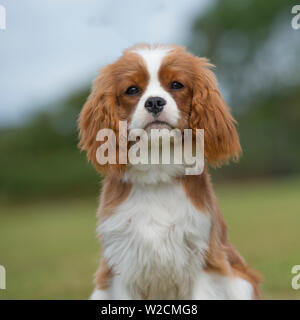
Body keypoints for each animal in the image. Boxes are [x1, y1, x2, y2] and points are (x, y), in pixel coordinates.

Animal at [78, 43, 262, 298]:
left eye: (176, 85)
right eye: (132, 90)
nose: (154, 102)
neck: (158, 166)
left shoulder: (204, 261)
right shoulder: (120, 266)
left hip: (241, 283)